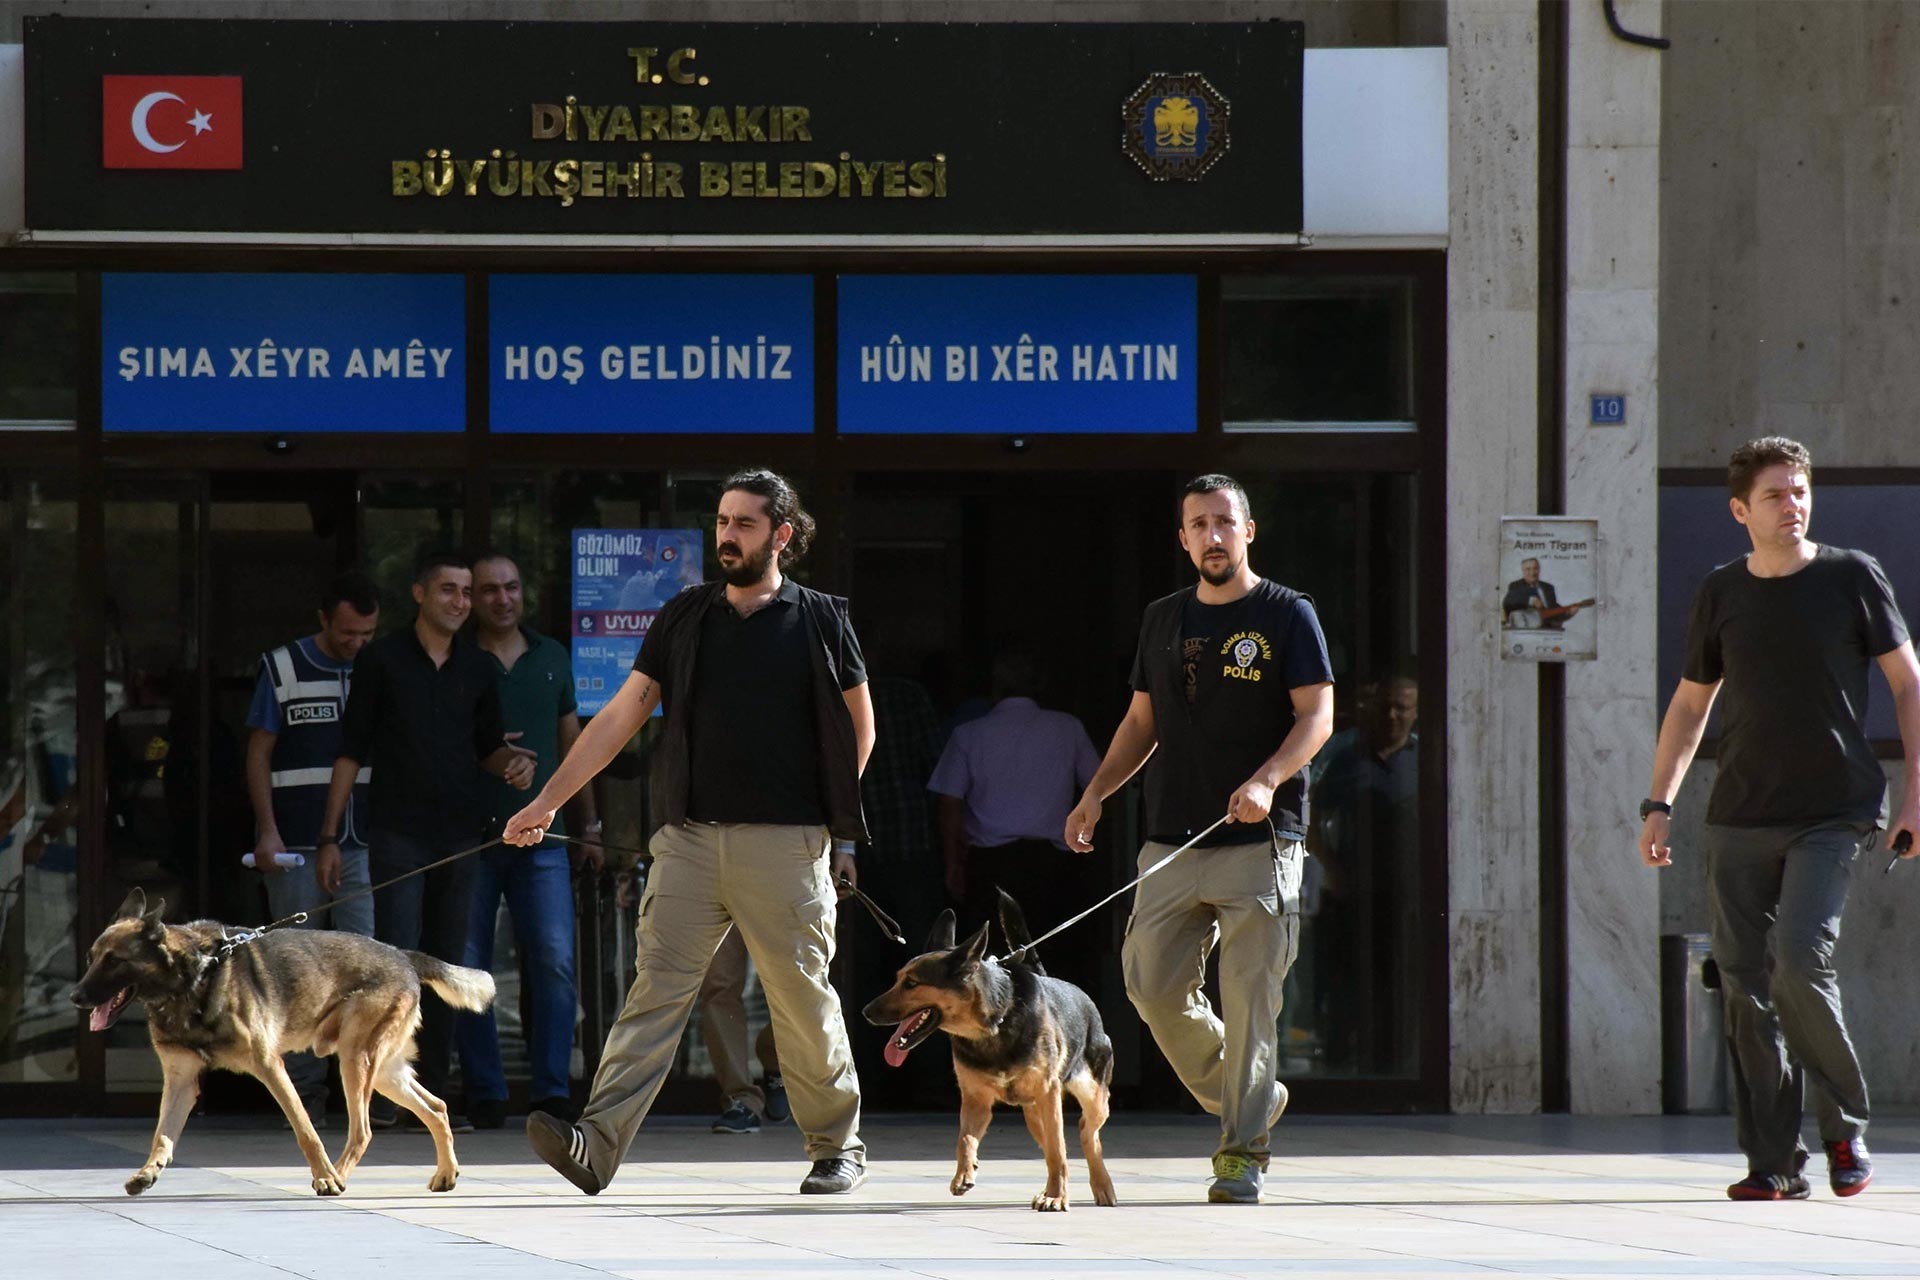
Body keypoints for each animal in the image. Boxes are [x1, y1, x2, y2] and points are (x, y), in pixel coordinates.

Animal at [72, 890, 495, 1205]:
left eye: (115, 961)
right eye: (92, 958)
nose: (76, 997)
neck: (193, 977)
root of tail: (402, 955)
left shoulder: (270, 1066)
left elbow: (305, 1129)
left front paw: (324, 1177)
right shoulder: (180, 1080)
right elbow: (162, 1136)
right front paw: (148, 1174)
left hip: (355, 1062)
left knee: (363, 1131)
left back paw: (338, 1176)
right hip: (382, 1071)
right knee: (437, 1108)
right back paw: (445, 1173)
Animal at [864, 890, 1121, 1212]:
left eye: (912, 983)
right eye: (898, 979)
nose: (866, 1012)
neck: (993, 1024)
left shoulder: (1048, 1095)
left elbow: (1059, 1150)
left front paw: (1056, 1196)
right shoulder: (976, 1100)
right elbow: (965, 1140)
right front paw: (965, 1173)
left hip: (1091, 1095)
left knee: (1087, 1133)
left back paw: (1099, 1184)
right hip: (1034, 1113)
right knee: (1054, 1143)